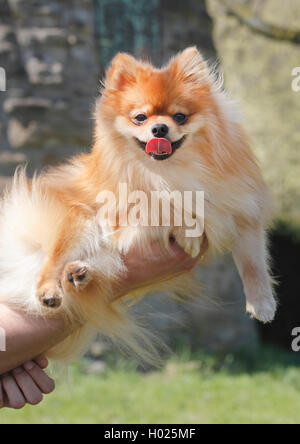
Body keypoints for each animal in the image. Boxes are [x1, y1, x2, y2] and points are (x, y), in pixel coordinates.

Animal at [0, 47, 276, 360]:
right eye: (140, 117)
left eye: (179, 116)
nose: (159, 127)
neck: (170, 172)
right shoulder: (124, 219)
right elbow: (168, 209)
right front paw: (187, 230)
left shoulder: (244, 214)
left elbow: (253, 262)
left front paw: (262, 303)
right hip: (78, 223)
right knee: (51, 262)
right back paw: (50, 291)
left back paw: (79, 274)